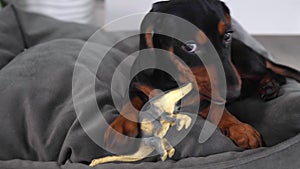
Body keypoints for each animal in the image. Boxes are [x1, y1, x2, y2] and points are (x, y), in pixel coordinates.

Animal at [105, 0, 300, 150]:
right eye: (189, 46)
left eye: (227, 35)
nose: (233, 94)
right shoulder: (138, 84)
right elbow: (132, 100)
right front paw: (121, 128)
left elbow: (217, 109)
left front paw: (240, 128)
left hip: (244, 62)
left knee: (271, 73)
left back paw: (268, 86)